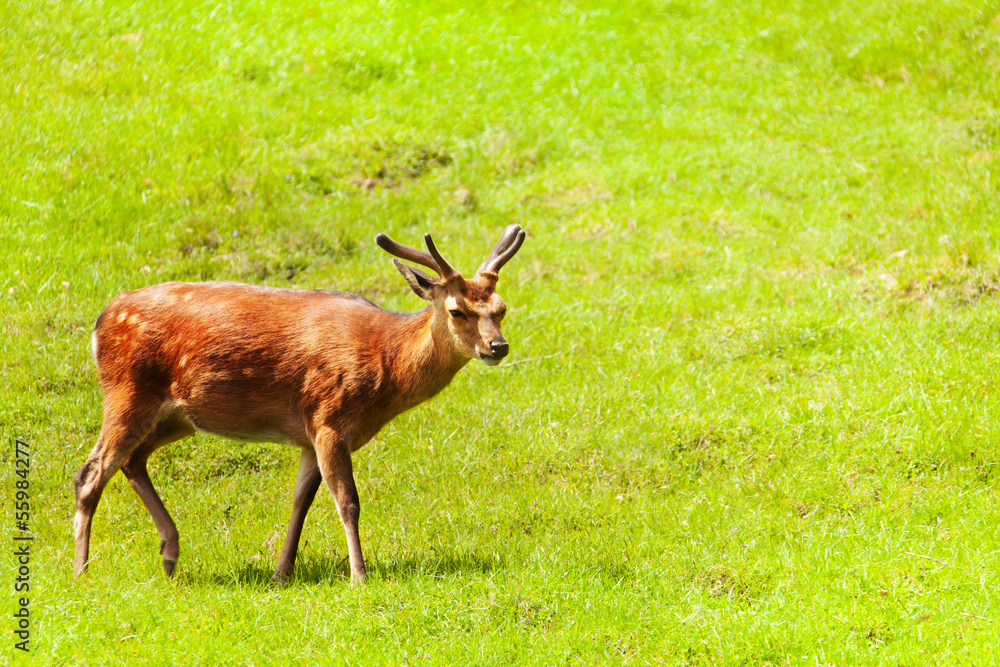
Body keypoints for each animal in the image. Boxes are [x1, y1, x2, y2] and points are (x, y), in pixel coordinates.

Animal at [72, 224, 524, 584]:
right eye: (457, 310)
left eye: (502, 308)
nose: (497, 347)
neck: (385, 363)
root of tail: (100, 322)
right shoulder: (328, 417)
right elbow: (348, 501)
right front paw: (359, 575)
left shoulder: (309, 434)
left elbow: (301, 501)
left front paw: (282, 572)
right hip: (127, 390)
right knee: (89, 473)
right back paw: (82, 572)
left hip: (177, 416)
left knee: (133, 460)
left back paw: (169, 555)